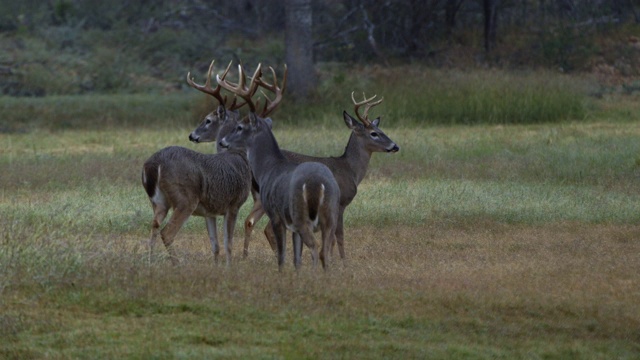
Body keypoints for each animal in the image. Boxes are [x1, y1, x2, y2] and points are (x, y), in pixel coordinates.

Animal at [141, 60, 254, 266]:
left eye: (207, 120)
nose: (192, 135)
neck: (239, 155)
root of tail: (153, 164)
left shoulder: (210, 211)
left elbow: (215, 245)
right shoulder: (234, 204)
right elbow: (228, 243)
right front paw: (229, 268)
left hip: (158, 201)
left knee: (153, 227)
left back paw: (150, 264)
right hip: (185, 198)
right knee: (166, 232)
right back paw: (177, 265)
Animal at [219, 63, 340, 268]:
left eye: (240, 127)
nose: (222, 141)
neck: (268, 167)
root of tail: (319, 184)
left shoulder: (276, 215)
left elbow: (283, 255)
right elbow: (296, 258)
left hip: (301, 215)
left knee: (315, 247)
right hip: (330, 215)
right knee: (325, 250)